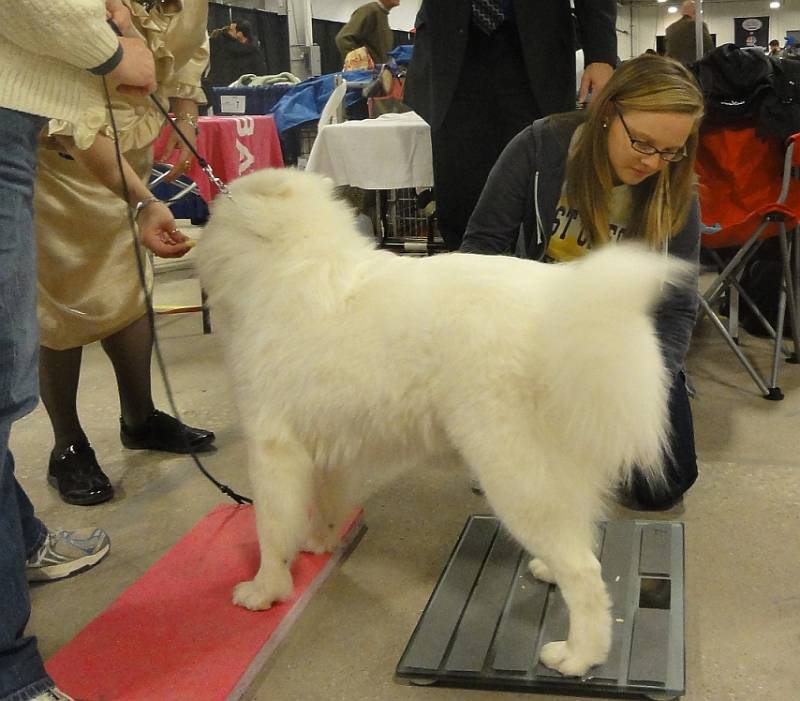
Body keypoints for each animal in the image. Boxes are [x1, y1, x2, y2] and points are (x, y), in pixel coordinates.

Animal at [198, 167, 688, 676]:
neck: (284, 264)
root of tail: (566, 311)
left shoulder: (271, 446)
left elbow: (271, 527)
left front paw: (264, 591)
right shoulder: (327, 448)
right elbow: (323, 505)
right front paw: (318, 542)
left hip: (513, 477)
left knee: (585, 574)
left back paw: (577, 656)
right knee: (581, 535)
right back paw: (549, 574)